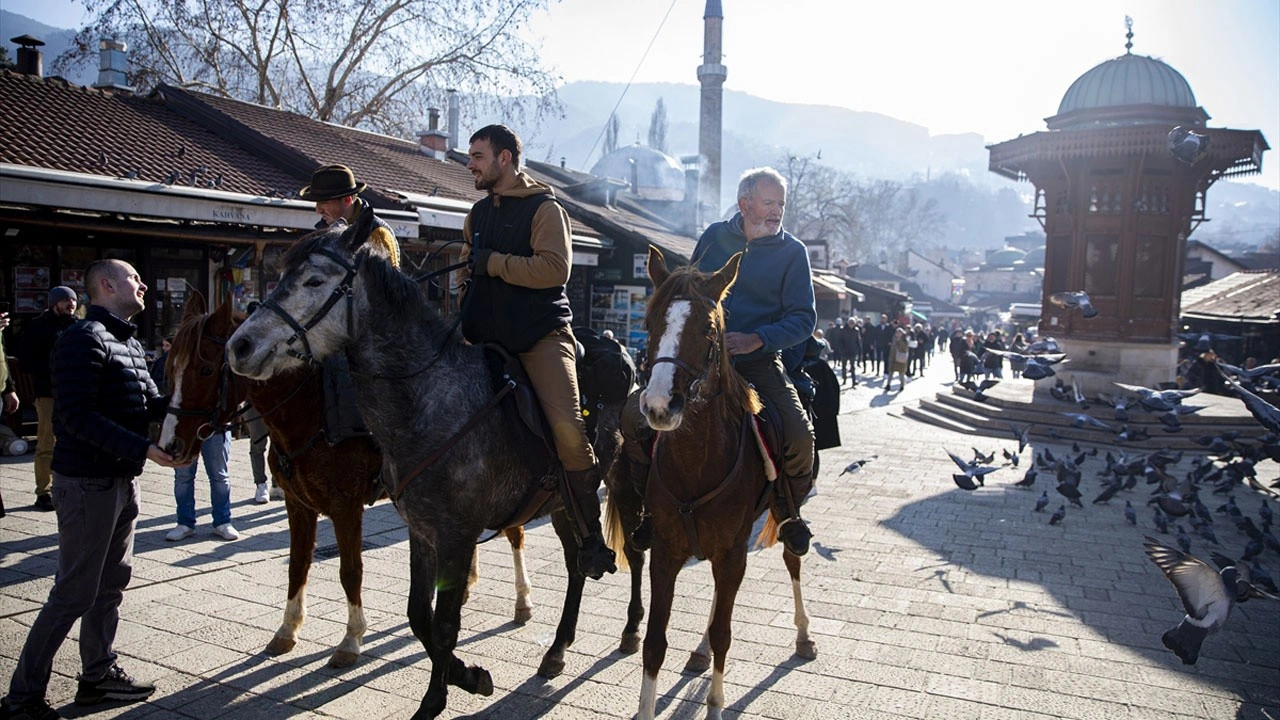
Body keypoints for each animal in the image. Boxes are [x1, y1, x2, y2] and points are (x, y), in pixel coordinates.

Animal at [156, 295, 535, 661]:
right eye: (169, 368)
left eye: (205, 369)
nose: (170, 445)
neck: (314, 410)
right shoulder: (298, 504)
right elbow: (298, 564)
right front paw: (288, 628)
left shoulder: (345, 507)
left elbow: (350, 571)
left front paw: (351, 639)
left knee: (515, 533)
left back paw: (523, 601)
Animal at [627, 245, 808, 717]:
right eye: (650, 324)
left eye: (708, 329)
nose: (658, 406)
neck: (697, 461)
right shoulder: (666, 551)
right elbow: (654, 643)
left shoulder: (732, 552)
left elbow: (727, 634)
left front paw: (715, 702)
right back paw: (700, 650)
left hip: (783, 513)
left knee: (793, 559)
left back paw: (804, 635)